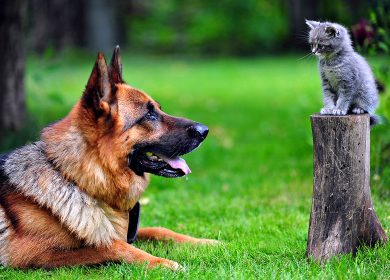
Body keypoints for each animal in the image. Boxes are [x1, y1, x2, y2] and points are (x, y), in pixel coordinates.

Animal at [0, 47, 215, 270]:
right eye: (149, 115)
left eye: (158, 109)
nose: (205, 131)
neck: (76, 179)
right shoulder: (30, 253)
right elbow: (111, 245)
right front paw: (162, 262)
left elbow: (158, 229)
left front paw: (207, 242)